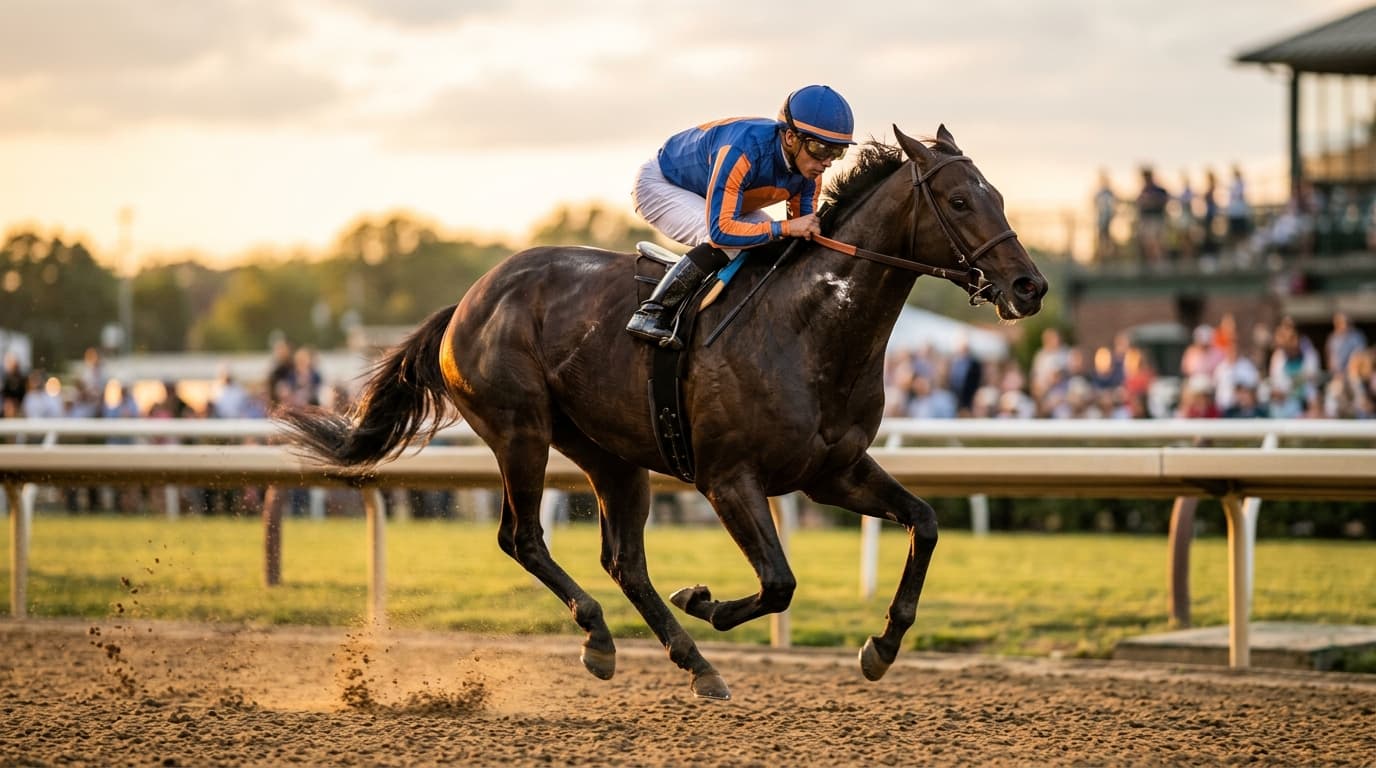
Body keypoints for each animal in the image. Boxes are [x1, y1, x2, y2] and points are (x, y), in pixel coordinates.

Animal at [277, 124, 1048, 700]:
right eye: (958, 200)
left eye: (998, 194)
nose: (1029, 286)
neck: (811, 328)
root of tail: (467, 302)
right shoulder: (727, 477)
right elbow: (779, 583)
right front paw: (704, 600)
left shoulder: (832, 471)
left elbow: (925, 522)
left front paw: (882, 646)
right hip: (521, 431)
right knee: (523, 538)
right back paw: (601, 637)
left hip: (611, 454)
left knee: (622, 560)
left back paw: (691, 664)